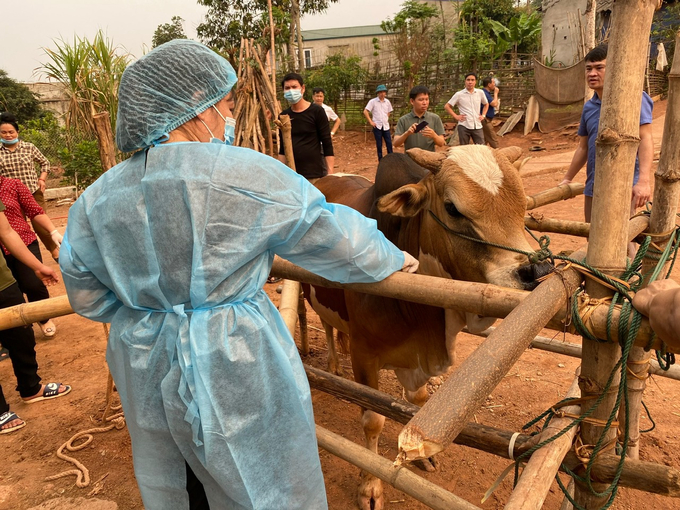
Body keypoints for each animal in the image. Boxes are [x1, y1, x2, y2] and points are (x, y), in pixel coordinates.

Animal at [308, 144, 548, 510]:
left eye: (522, 204)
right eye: (452, 208)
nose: (535, 272)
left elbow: (418, 400)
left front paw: (424, 458)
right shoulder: (366, 357)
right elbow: (373, 421)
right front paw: (370, 487)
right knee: (325, 323)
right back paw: (335, 363)